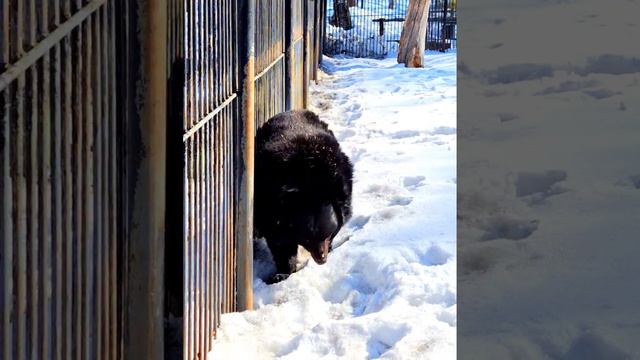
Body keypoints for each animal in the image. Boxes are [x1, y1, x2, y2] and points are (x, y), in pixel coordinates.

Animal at [255, 109, 356, 284]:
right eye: (307, 238)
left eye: (326, 235)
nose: (322, 259)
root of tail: (292, 111)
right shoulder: (271, 203)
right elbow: (280, 242)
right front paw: (281, 274)